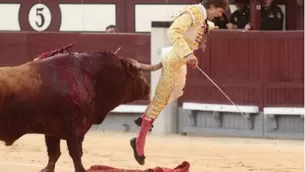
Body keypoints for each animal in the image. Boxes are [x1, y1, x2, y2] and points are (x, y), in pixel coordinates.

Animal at [0, 45, 162, 172]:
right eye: (138, 73)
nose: (148, 89)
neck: (92, 77)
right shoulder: (75, 131)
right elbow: (75, 156)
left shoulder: (52, 132)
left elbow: (53, 156)